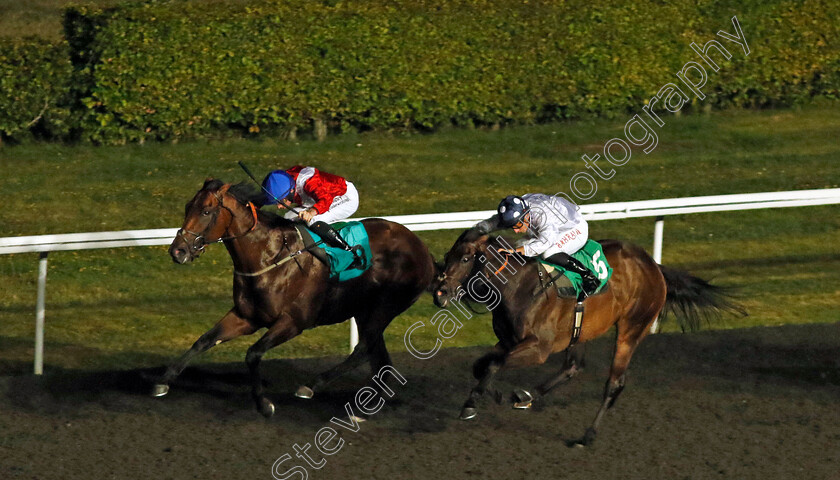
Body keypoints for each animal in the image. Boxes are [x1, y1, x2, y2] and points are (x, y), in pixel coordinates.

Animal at [153, 180, 436, 416]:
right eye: (188, 207)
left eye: (206, 211)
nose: (178, 251)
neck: (269, 257)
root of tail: (422, 248)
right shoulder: (246, 316)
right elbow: (204, 340)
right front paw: (163, 382)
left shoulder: (293, 322)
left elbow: (253, 353)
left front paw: (263, 403)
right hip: (364, 310)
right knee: (378, 357)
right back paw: (364, 406)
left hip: (386, 306)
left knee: (363, 349)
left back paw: (311, 386)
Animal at [434, 228, 740, 446]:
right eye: (447, 256)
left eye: (465, 258)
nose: (440, 294)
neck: (518, 286)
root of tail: (653, 266)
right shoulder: (509, 341)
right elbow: (482, 365)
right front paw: (493, 393)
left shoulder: (539, 348)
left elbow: (495, 364)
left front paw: (470, 405)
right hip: (580, 332)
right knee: (573, 367)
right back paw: (527, 396)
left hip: (631, 328)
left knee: (614, 383)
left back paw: (587, 435)